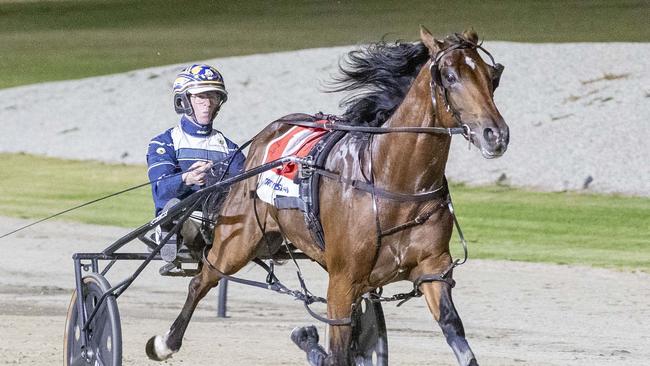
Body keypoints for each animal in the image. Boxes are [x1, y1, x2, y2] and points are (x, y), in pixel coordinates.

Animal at [146, 27, 506, 366]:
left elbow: (455, 333)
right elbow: (337, 351)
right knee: (203, 278)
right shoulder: (343, 280)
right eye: (450, 76)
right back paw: (165, 342)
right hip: (239, 239)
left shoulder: (432, 269)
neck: (396, 184)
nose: (496, 135)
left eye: (492, 76)